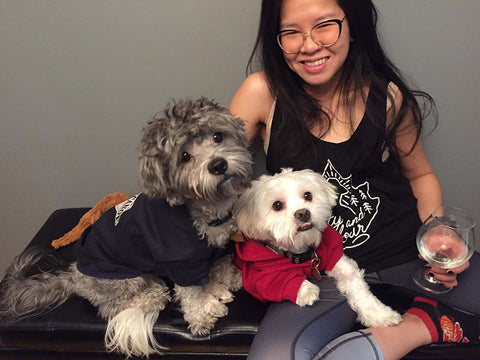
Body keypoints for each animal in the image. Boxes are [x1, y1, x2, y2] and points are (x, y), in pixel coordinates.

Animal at [0, 97, 253, 358]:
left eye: (217, 136)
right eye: (184, 156)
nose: (218, 165)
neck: (204, 210)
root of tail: (74, 273)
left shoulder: (215, 251)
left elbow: (217, 267)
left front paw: (225, 281)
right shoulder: (180, 263)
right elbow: (191, 293)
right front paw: (201, 315)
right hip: (122, 280)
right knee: (114, 305)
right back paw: (153, 295)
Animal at [232, 167, 402, 328]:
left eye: (308, 195)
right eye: (277, 205)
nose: (303, 213)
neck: (302, 253)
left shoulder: (333, 255)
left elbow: (357, 285)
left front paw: (379, 314)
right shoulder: (259, 276)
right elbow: (279, 281)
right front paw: (306, 290)